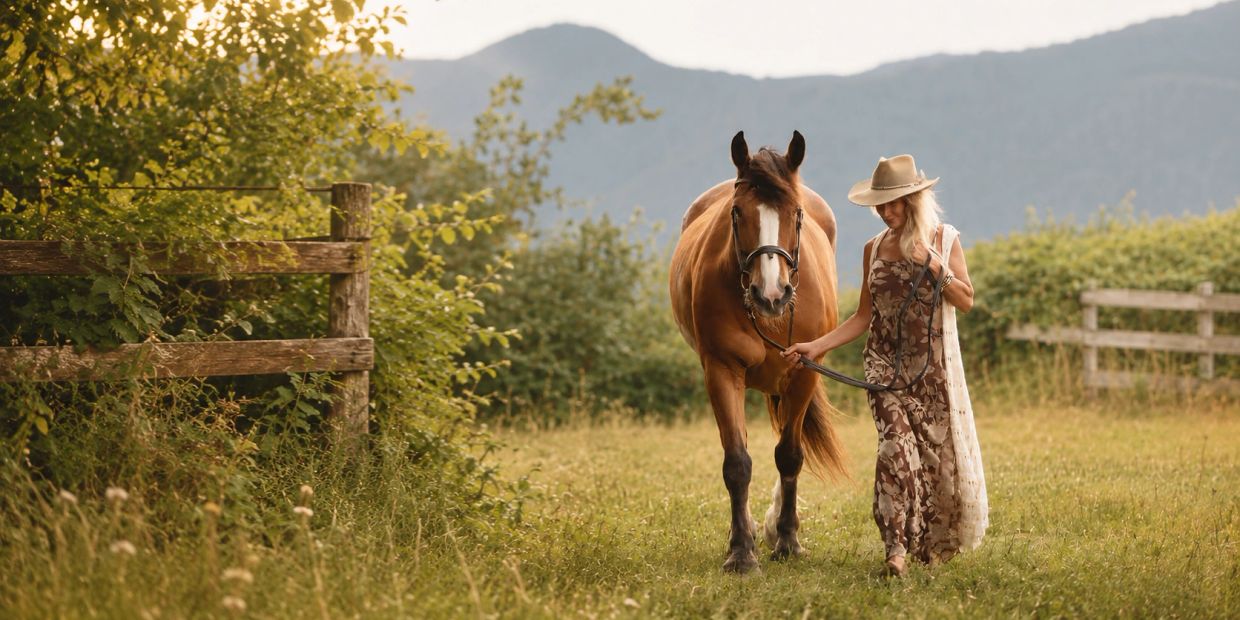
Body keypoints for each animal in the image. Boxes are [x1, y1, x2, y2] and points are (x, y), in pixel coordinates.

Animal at [669, 130, 848, 574]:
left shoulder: (803, 372)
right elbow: (737, 462)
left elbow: (790, 455)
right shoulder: (721, 370)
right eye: (736, 213)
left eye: (796, 214)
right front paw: (741, 551)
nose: (771, 294)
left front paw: (786, 540)